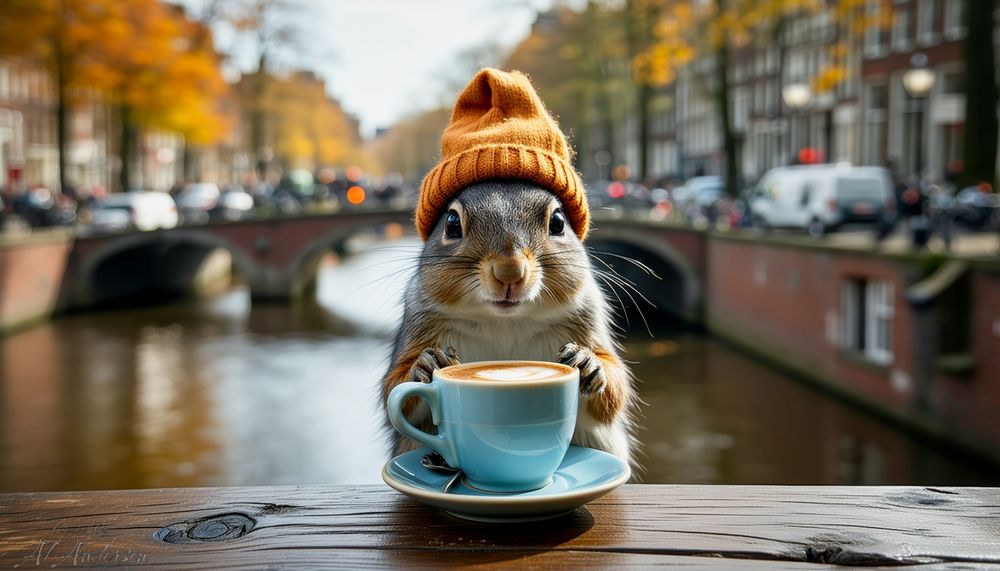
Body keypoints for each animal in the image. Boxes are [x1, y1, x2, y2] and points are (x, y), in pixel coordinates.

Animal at [380, 180, 638, 466]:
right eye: (451, 223)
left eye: (558, 222)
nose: (509, 271)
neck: (505, 322)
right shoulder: (418, 323)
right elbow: (393, 390)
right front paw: (426, 365)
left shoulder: (589, 318)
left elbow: (615, 393)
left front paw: (588, 363)